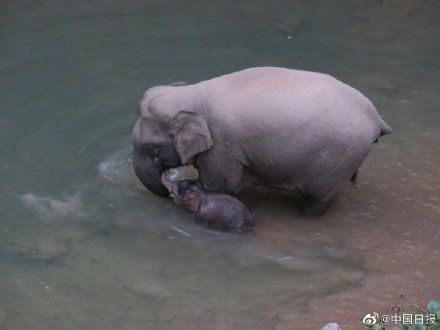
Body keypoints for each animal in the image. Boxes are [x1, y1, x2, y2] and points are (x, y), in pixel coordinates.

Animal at [131, 67, 392, 217]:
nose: (167, 183)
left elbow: (219, 185)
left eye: (151, 148)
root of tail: (376, 118)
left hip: (336, 161)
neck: (193, 93)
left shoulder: (222, 146)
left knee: (318, 199)